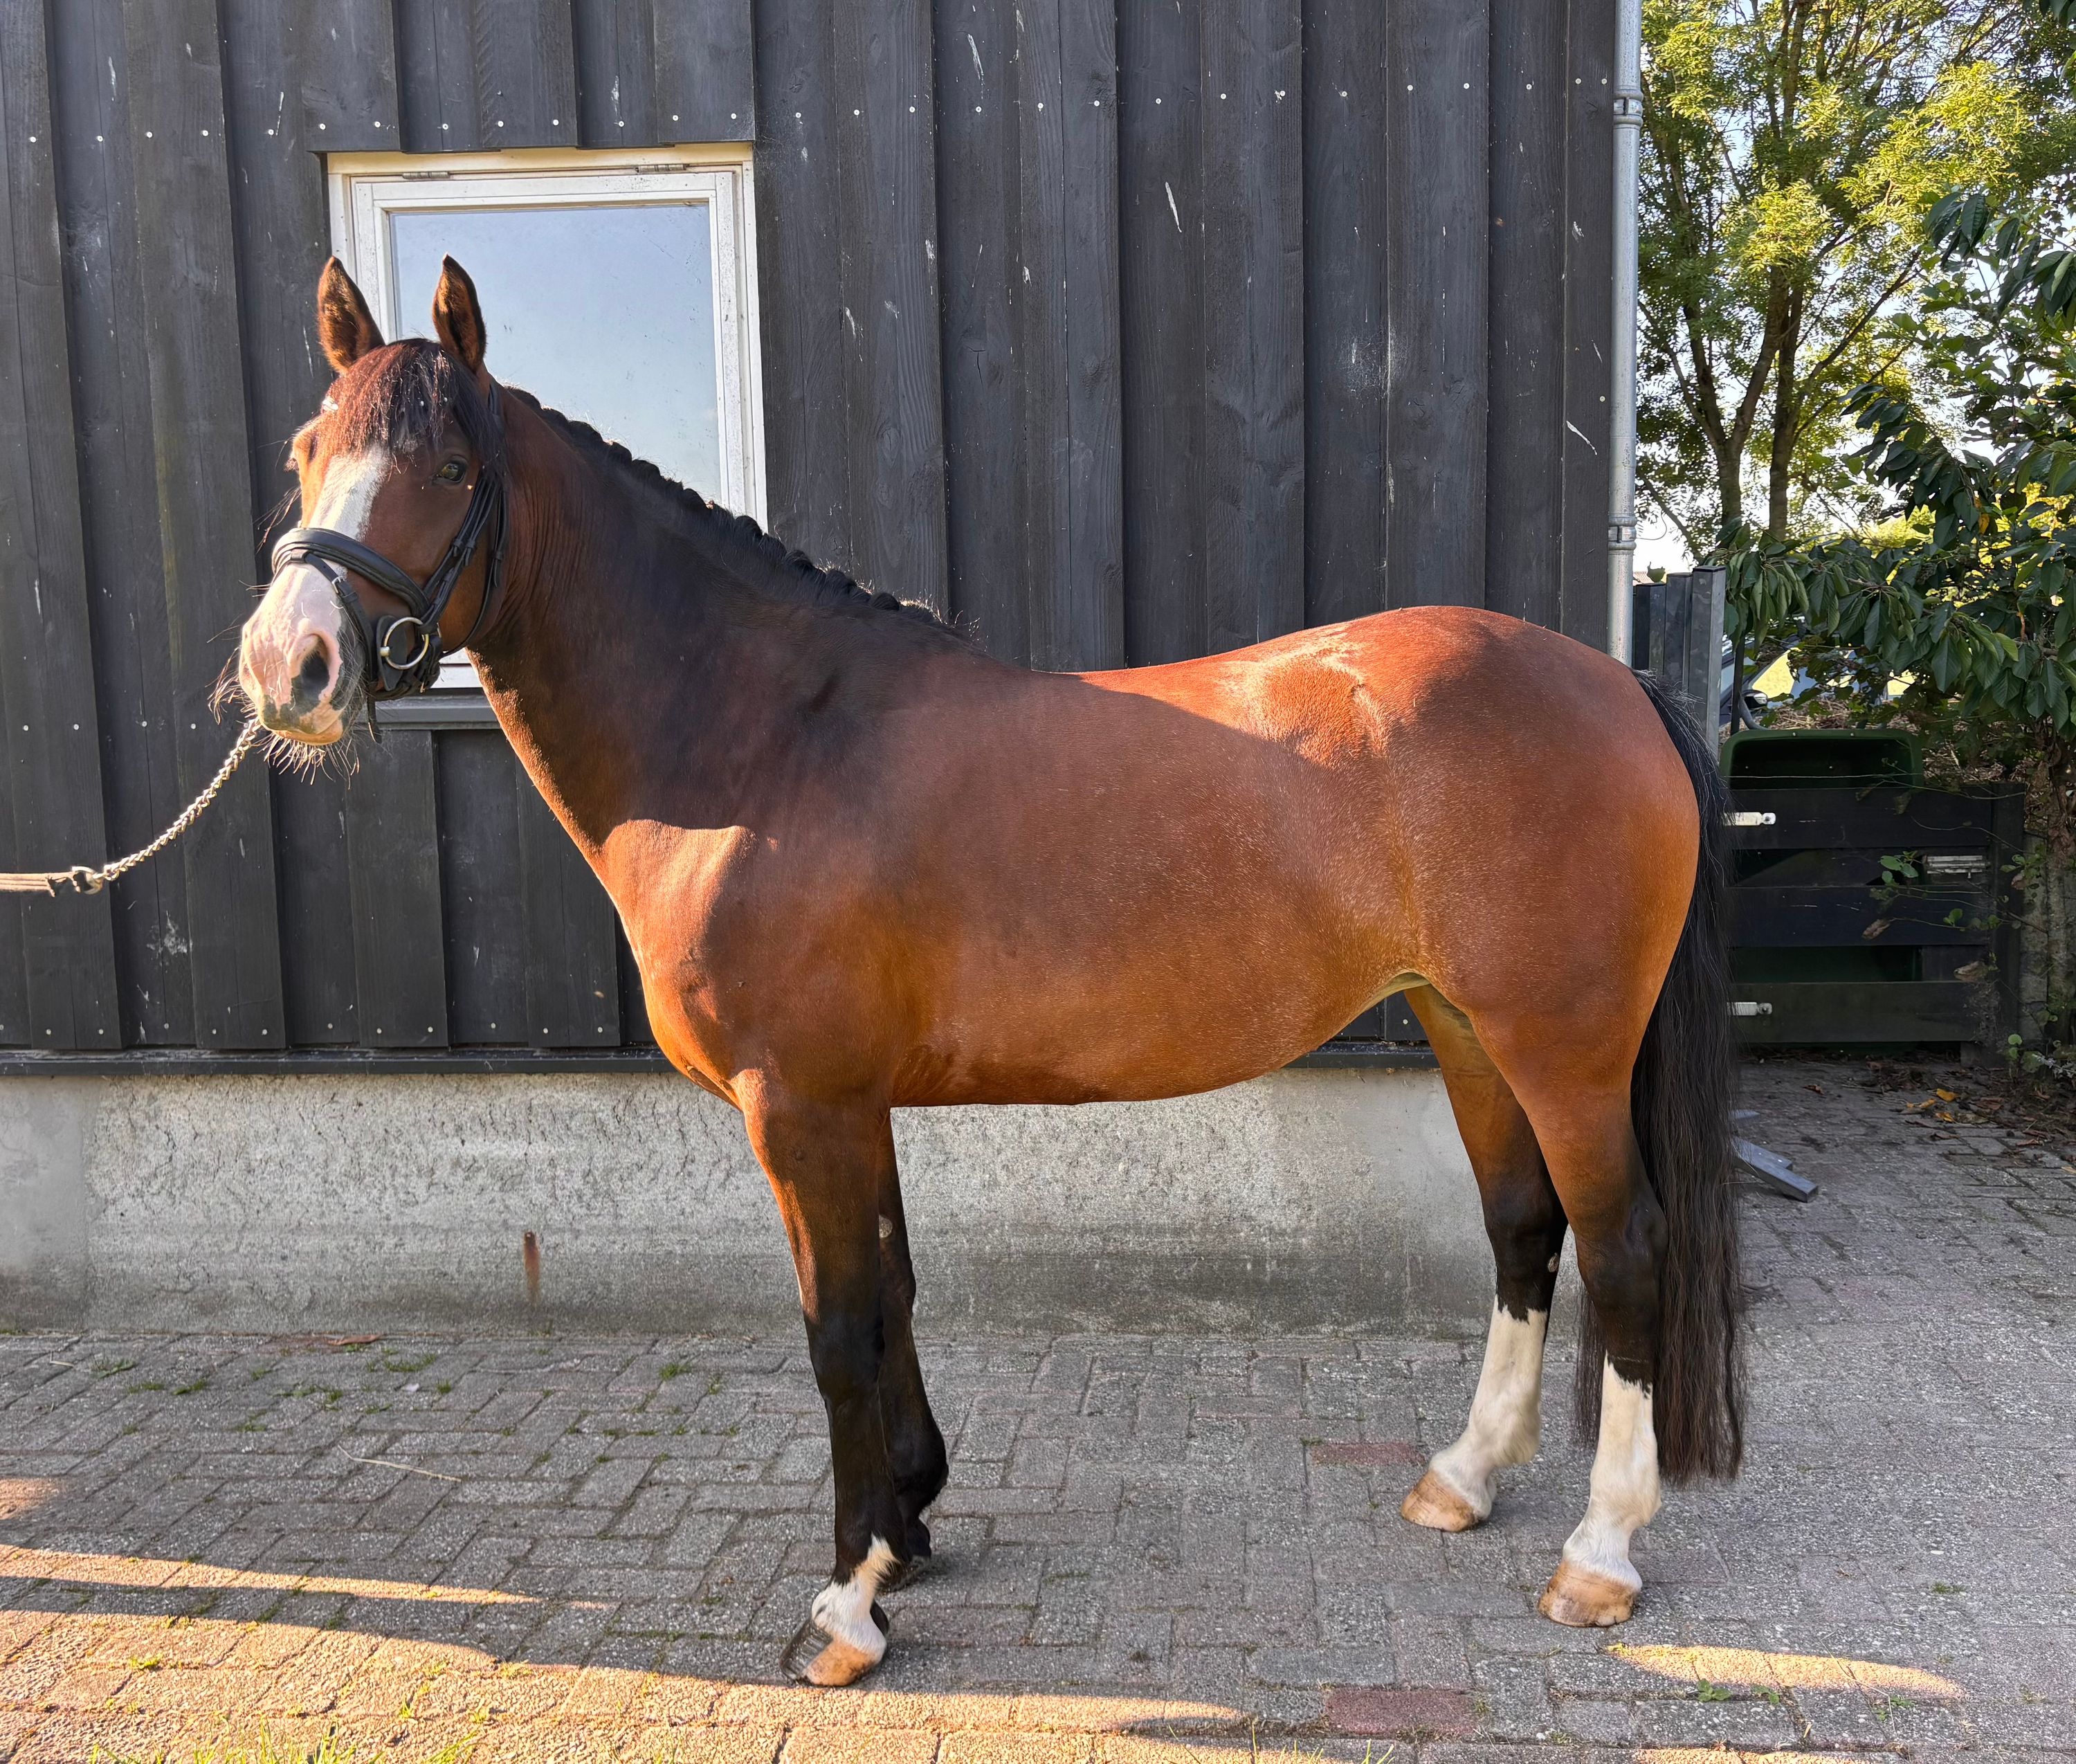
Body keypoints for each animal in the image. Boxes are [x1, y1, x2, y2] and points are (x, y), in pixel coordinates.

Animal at [237, 257, 1743, 1688]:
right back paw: (1464, 1476)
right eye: (307, 449)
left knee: (1626, 1247)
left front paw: (844, 1606)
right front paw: (906, 1525)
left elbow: (839, 1326)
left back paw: (1598, 1551)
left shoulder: (801, 1104)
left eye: (448, 466)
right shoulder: (852, 1104)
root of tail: (1616, 684)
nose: (286, 666)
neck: (763, 744)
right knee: (1523, 1230)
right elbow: (895, 1292)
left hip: (1563, 1047)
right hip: (1464, 1026)